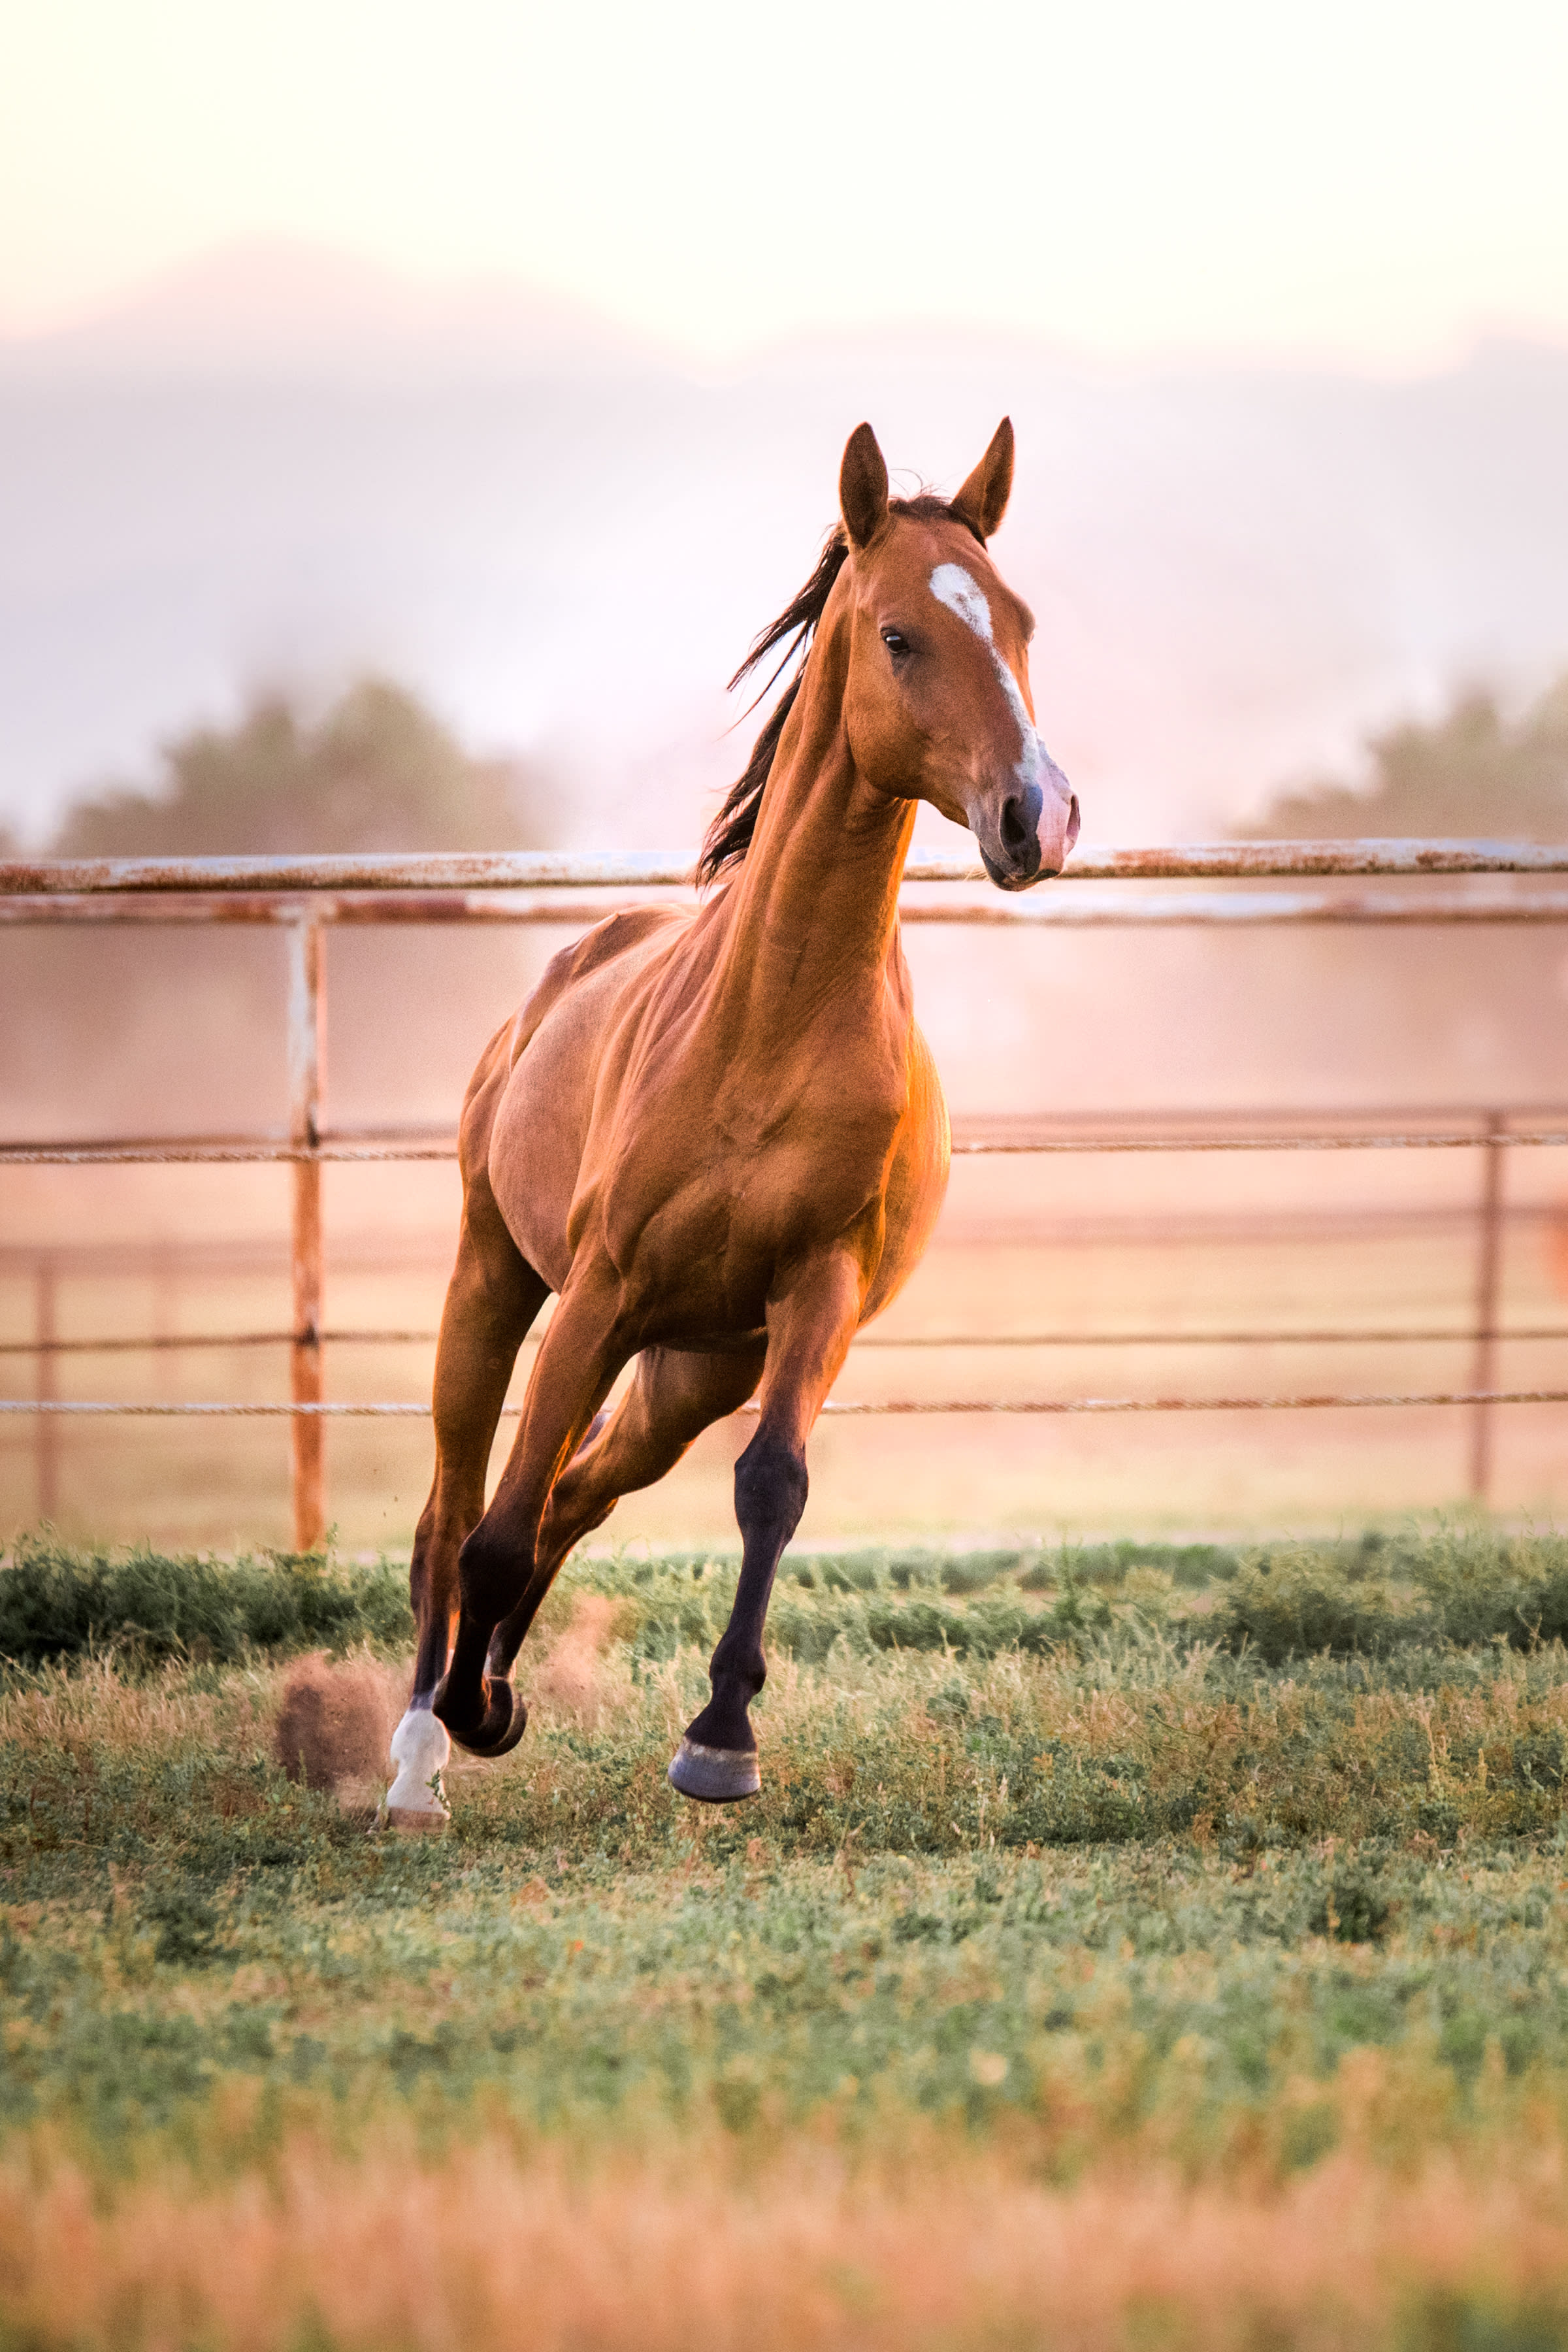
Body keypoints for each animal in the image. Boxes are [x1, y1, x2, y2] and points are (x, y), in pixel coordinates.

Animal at [382, 417, 1080, 1827]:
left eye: (1023, 621)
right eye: (901, 636)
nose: (1037, 815)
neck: (772, 1020)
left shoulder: (817, 1294)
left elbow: (770, 1488)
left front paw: (718, 1739)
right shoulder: (596, 1293)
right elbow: (491, 1535)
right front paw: (472, 1722)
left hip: (691, 1368)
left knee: (574, 1493)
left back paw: (493, 1701)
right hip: (499, 1284)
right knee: (459, 1506)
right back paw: (423, 1751)